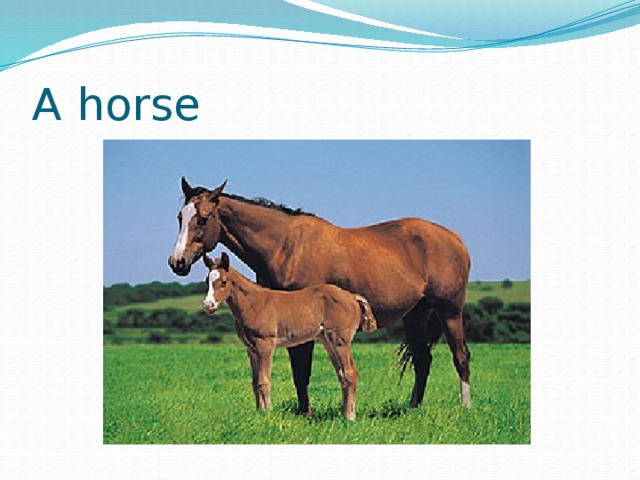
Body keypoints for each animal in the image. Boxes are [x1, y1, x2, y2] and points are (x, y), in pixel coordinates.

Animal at [202, 252, 377, 420]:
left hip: (340, 341)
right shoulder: (251, 349)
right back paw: (345, 413)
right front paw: (259, 412)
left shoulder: (265, 344)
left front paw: (267, 414)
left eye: (223, 282)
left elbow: (263, 381)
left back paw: (349, 417)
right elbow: (255, 382)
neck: (253, 303)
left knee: (350, 373)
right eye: (206, 280)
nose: (208, 305)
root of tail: (352, 296)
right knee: (343, 375)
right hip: (328, 342)